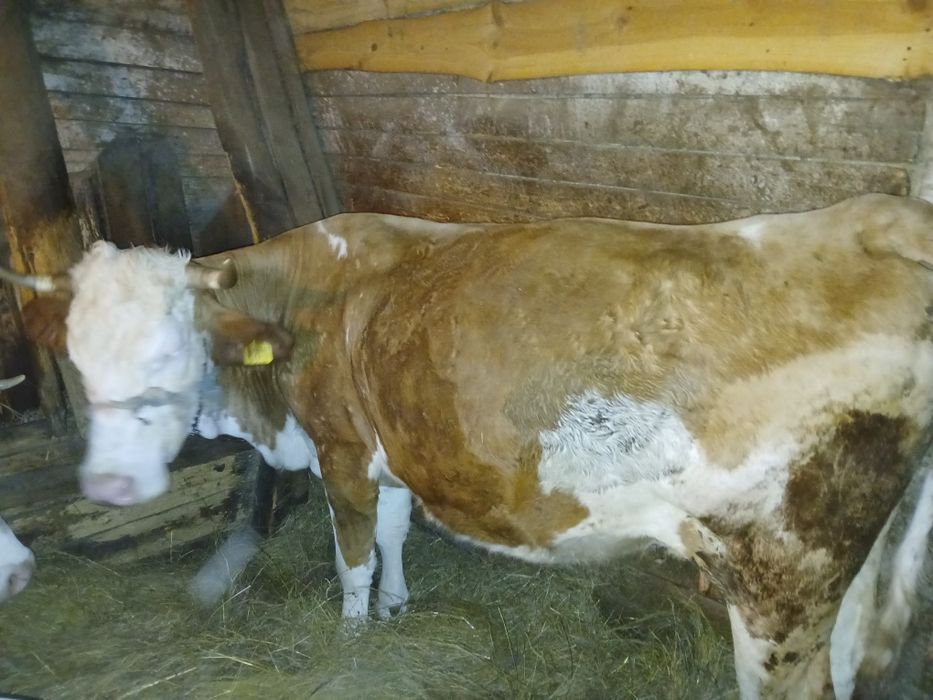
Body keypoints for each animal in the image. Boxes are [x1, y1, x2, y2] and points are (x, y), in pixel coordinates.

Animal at [6, 193, 933, 699]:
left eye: (172, 351)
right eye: (79, 355)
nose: (111, 488)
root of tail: (881, 215)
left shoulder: (341, 450)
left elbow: (351, 556)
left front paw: (353, 640)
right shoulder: (387, 451)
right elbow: (392, 532)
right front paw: (397, 608)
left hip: (779, 577)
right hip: (850, 561)